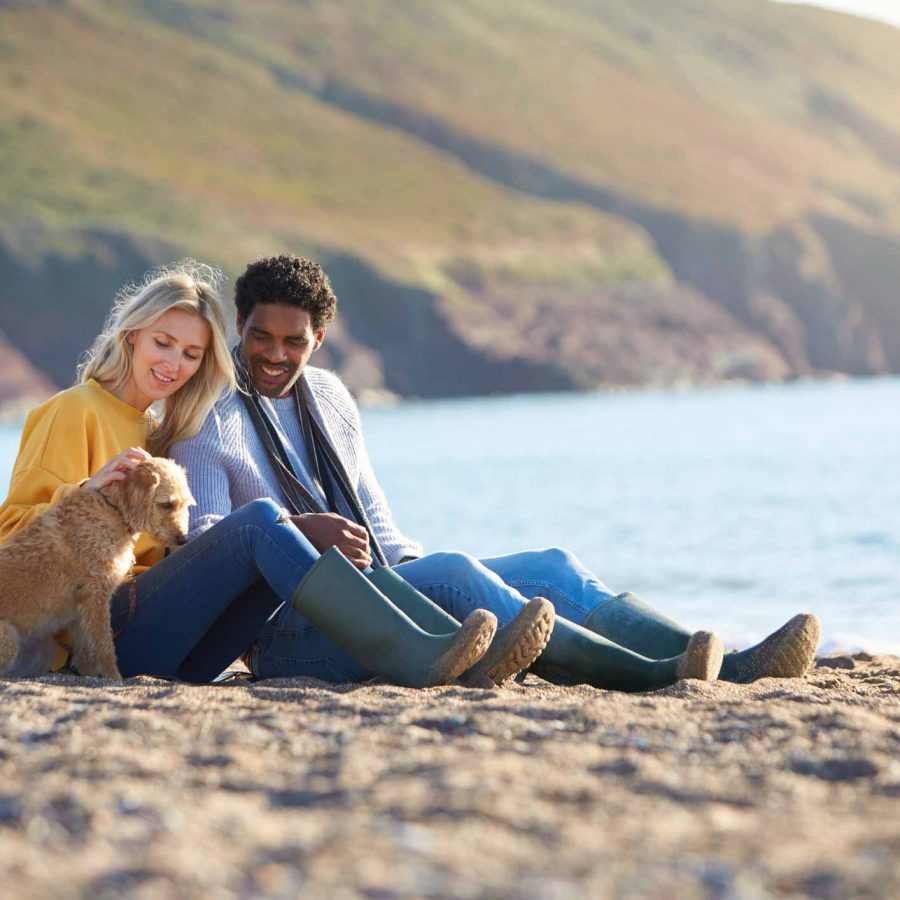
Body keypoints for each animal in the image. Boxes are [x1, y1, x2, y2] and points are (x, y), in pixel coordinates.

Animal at [0, 460, 195, 680]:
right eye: (166, 504)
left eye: (185, 504)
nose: (183, 539)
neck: (113, 509)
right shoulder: (96, 596)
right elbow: (104, 646)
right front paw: (114, 677)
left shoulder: (80, 608)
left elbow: (85, 649)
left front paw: (89, 674)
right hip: (8, 638)